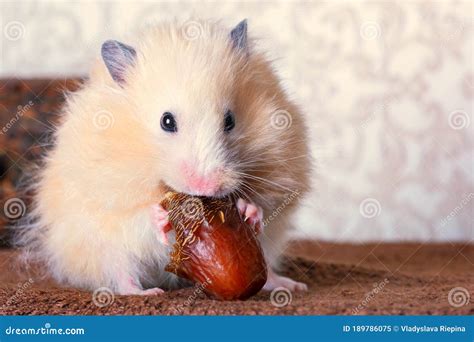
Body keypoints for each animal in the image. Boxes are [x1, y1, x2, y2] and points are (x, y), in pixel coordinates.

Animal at [15, 20, 312, 296]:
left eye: (230, 120)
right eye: (166, 121)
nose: (206, 187)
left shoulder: (282, 175)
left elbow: (266, 204)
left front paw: (247, 210)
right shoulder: (106, 198)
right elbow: (135, 217)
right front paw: (158, 215)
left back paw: (290, 285)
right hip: (96, 246)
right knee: (120, 272)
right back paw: (146, 292)